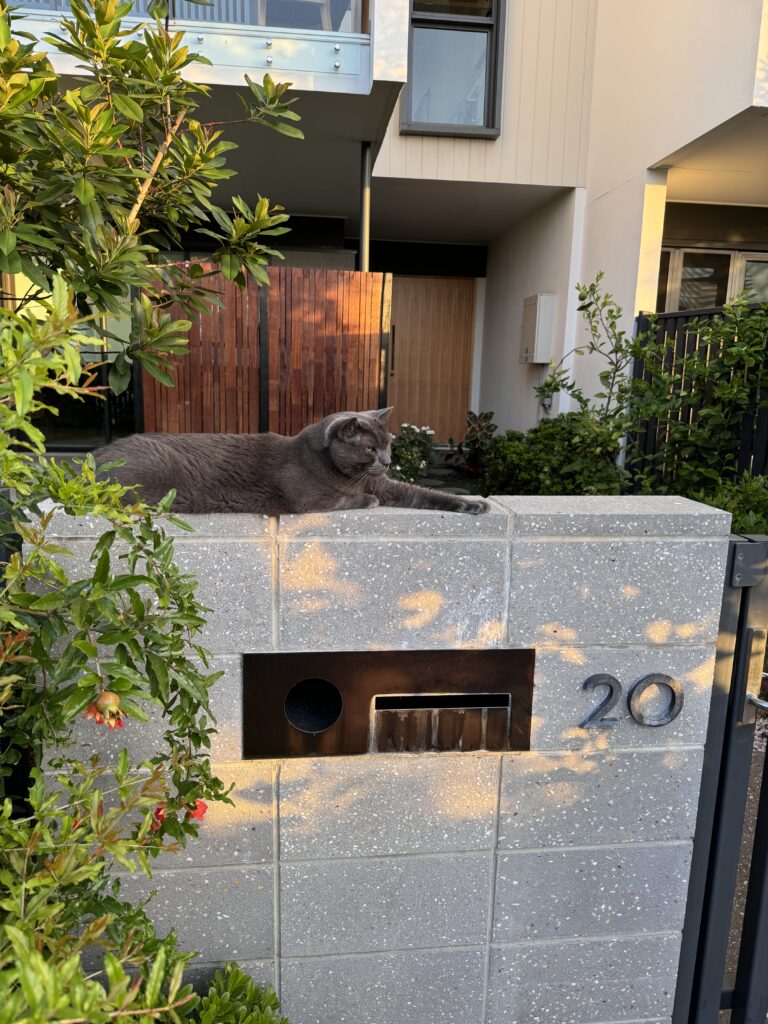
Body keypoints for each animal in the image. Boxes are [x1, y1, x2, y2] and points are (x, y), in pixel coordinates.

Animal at [96, 405, 489, 516]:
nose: (388, 461)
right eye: (370, 449)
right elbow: (350, 499)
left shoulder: (387, 485)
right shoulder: (310, 500)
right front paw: (368, 500)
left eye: (389, 444)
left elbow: (427, 495)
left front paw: (474, 505)